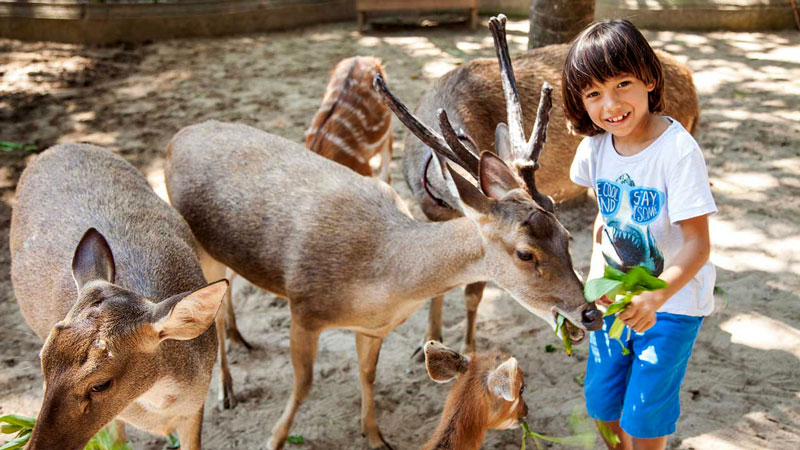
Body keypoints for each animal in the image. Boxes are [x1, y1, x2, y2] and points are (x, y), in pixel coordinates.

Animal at [404, 13, 696, 358]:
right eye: (525, 254)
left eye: (566, 236)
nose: (591, 315)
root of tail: (691, 80)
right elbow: (436, 284)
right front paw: (426, 342)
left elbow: (472, 293)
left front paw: (470, 350)